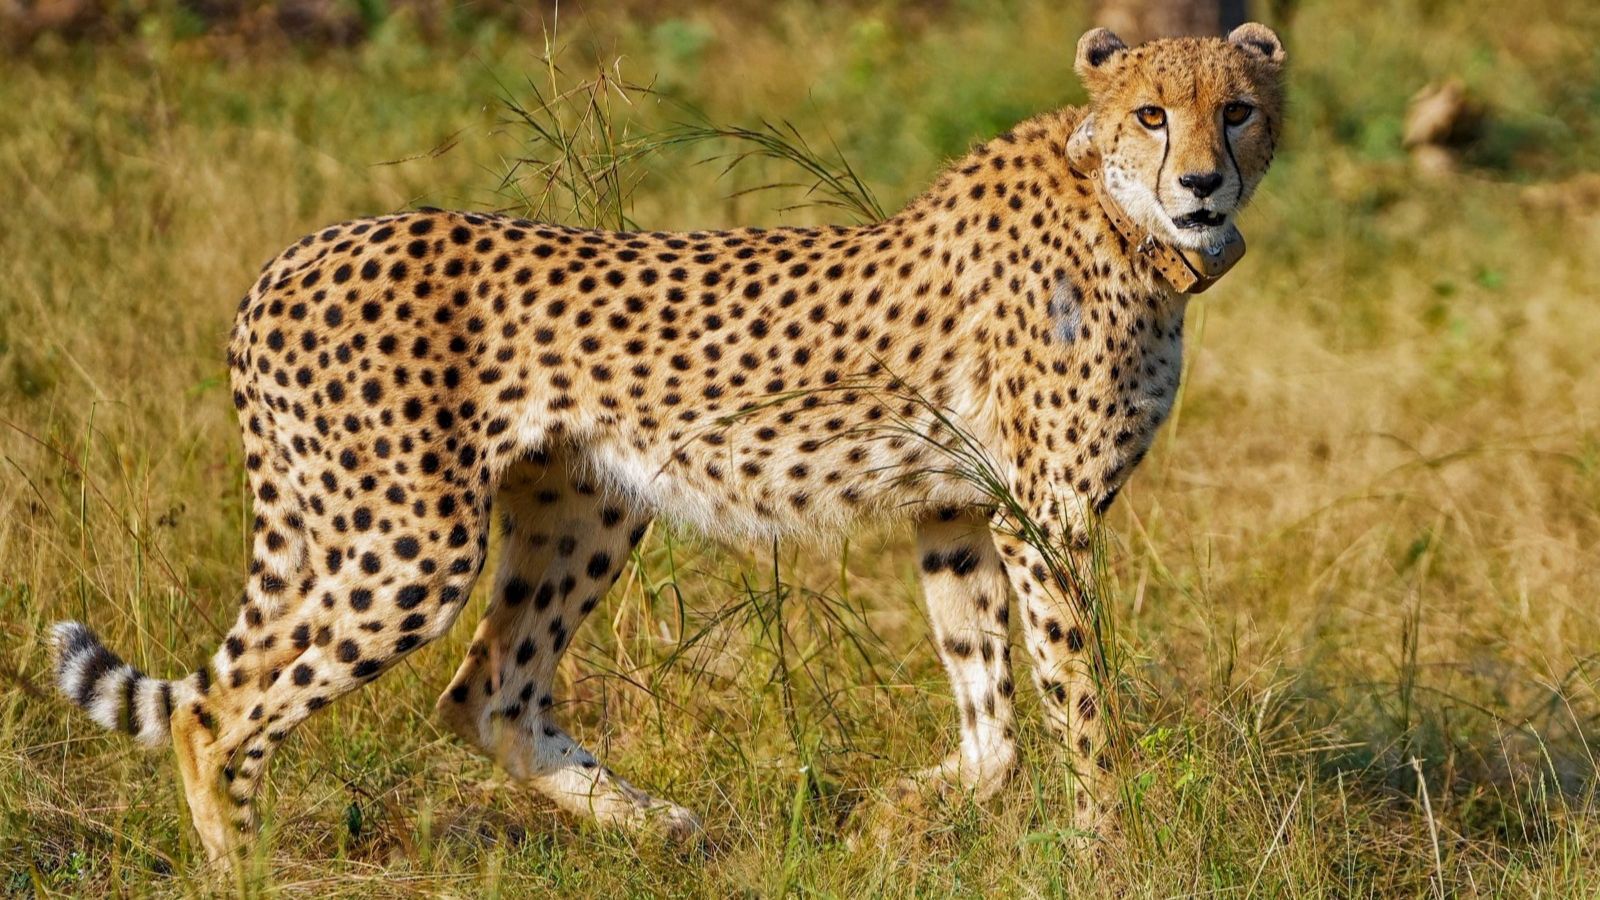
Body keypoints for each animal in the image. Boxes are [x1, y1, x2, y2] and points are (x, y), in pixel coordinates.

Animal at [50, 22, 1286, 865]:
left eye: (1236, 110)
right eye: (1152, 115)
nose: (1201, 181)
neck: (1124, 218)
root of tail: (294, 254)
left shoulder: (958, 508)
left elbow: (994, 720)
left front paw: (900, 811)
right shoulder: (1045, 518)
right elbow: (1081, 705)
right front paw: (1110, 849)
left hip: (582, 506)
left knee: (485, 691)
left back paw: (657, 823)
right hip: (408, 543)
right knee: (219, 713)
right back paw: (243, 867)